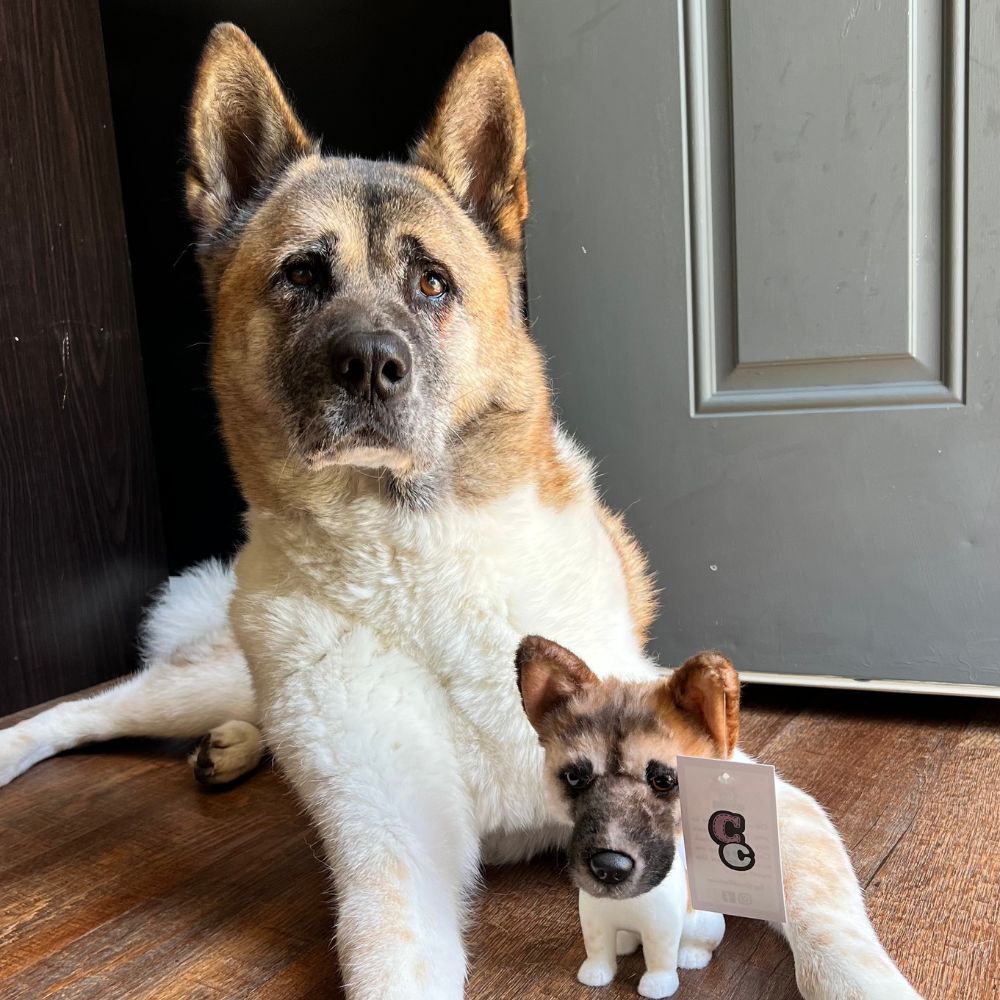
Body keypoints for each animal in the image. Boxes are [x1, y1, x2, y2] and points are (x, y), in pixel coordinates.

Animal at [0, 23, 920, 1000]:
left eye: (433, 283)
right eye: (301, 275)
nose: (369, 365)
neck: (416, 559)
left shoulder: (774, 802)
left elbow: (832, 930)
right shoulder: (392, 857)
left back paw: (236, 746)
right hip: (213, 675)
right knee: (88, 709)